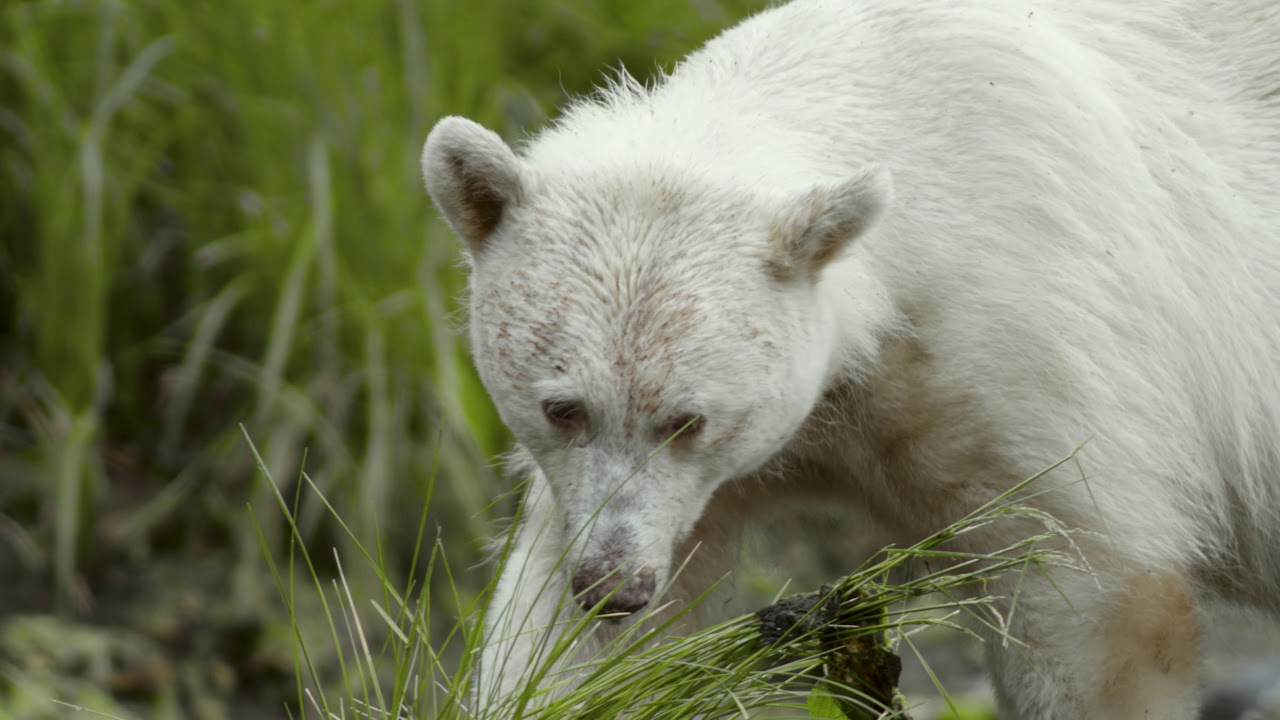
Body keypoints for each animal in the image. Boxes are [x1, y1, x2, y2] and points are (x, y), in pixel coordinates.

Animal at [420, 0, 1280, 717]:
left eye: (688, 420)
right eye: (562, 407)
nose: (612, 584)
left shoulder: (1033, 334)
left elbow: (1087, 590)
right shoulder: (703, 482)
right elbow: (582, 642)